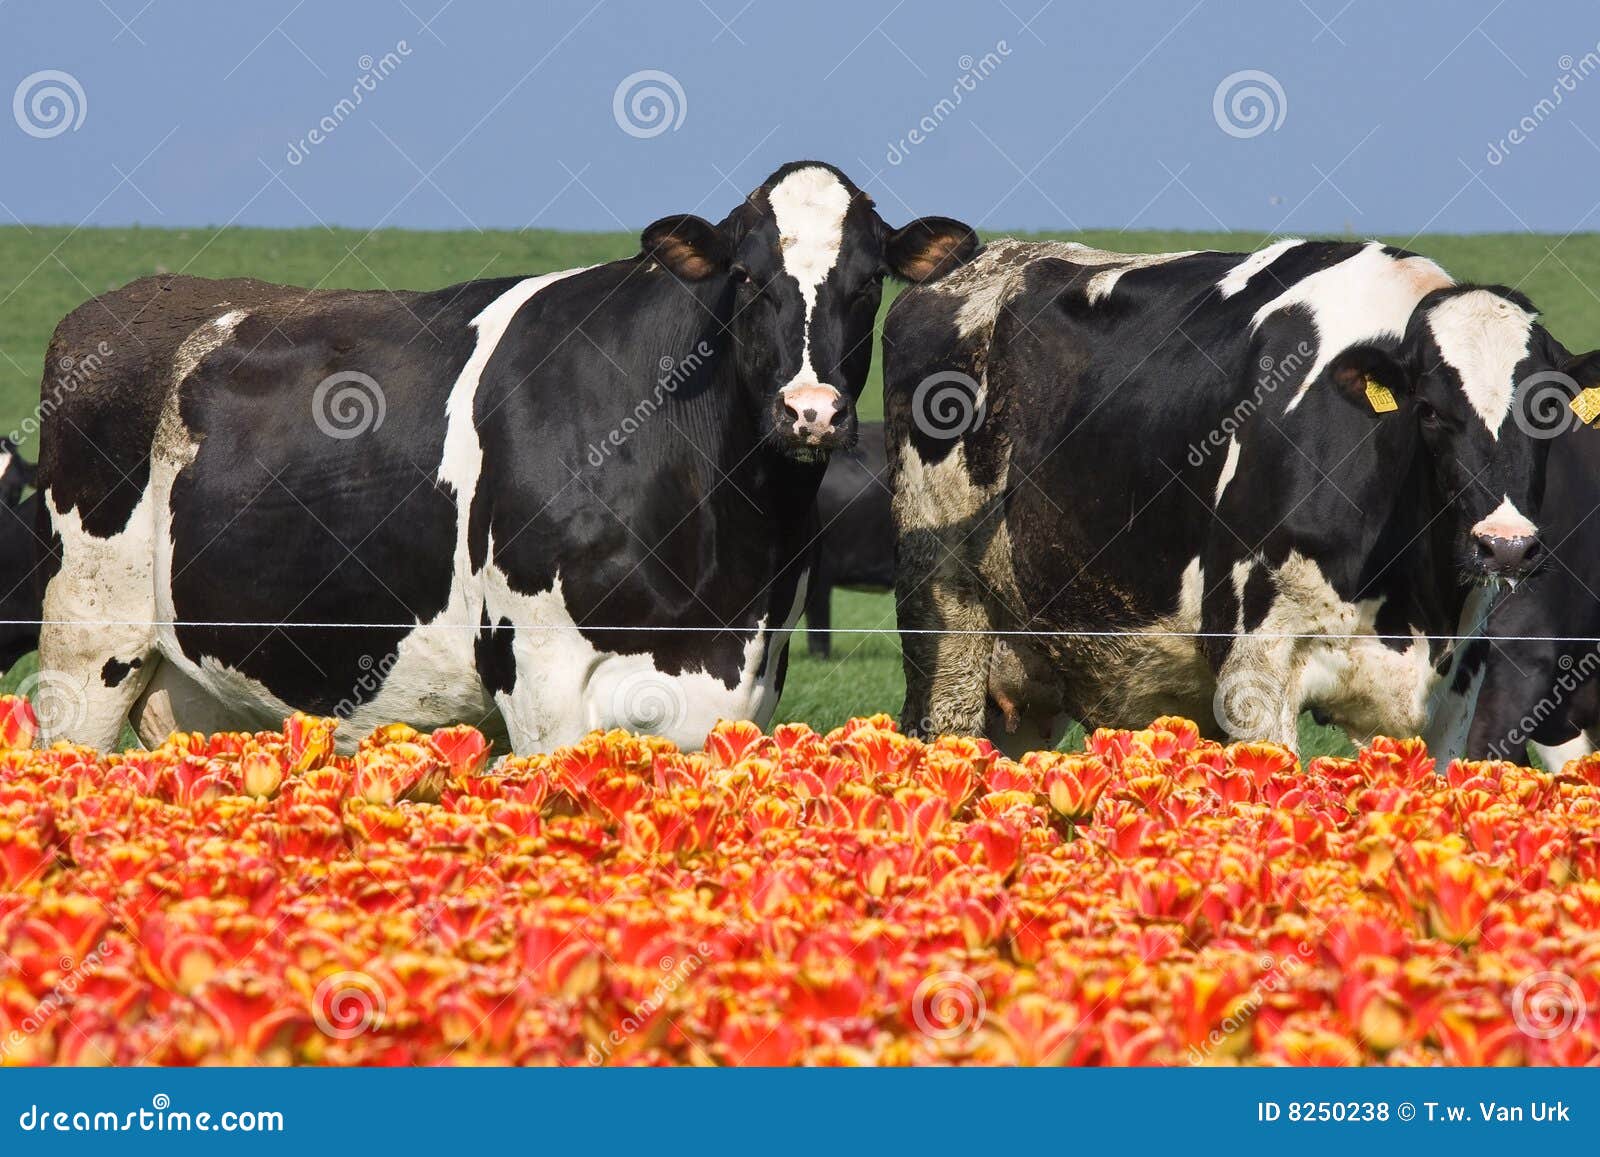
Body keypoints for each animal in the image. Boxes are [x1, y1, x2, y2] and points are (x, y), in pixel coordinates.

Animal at [885, 237, 1598, 757]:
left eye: (1551, 409)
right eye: (1428, 410)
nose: (1505, 547)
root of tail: (977, 260)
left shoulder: (1454, 693)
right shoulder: (1253, 668)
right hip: (946, 617)